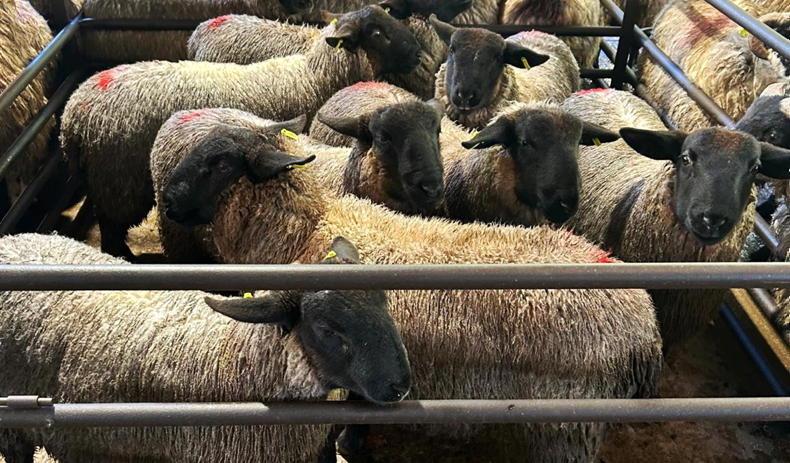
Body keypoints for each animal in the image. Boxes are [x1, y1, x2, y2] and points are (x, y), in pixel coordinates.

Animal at [0, 232, 410, 463]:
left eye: (385, 301)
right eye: (326, 329)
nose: (400, 385)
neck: (239, 358)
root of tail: (12, 240)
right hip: (14, 425)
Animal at [61, 5, 421, 259]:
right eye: (378, 33)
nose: (418, 54)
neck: (313, 75)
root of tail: (72, 115)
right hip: (118, 181)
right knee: (111, 233)